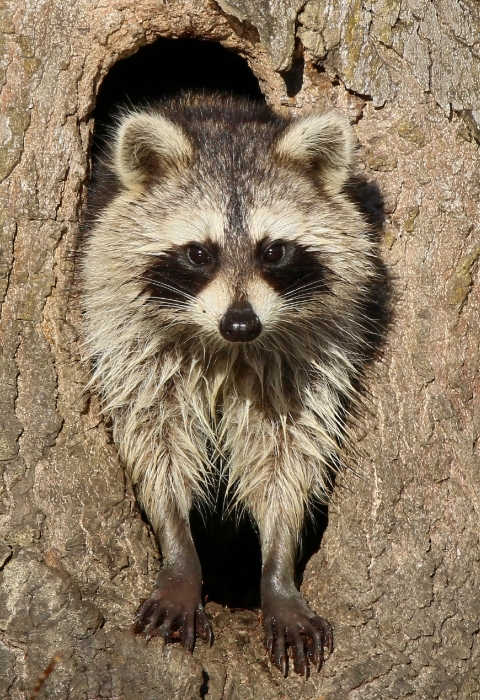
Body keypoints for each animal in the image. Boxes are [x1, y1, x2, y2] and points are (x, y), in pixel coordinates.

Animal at [81, 94, 377, 677]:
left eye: (274, 251)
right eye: (200, 253)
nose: (241, 324)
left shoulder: (305, 356)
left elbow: (287, 455)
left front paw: (278, 566)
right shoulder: (129, 336)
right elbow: (155, 438)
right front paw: (178, 550)